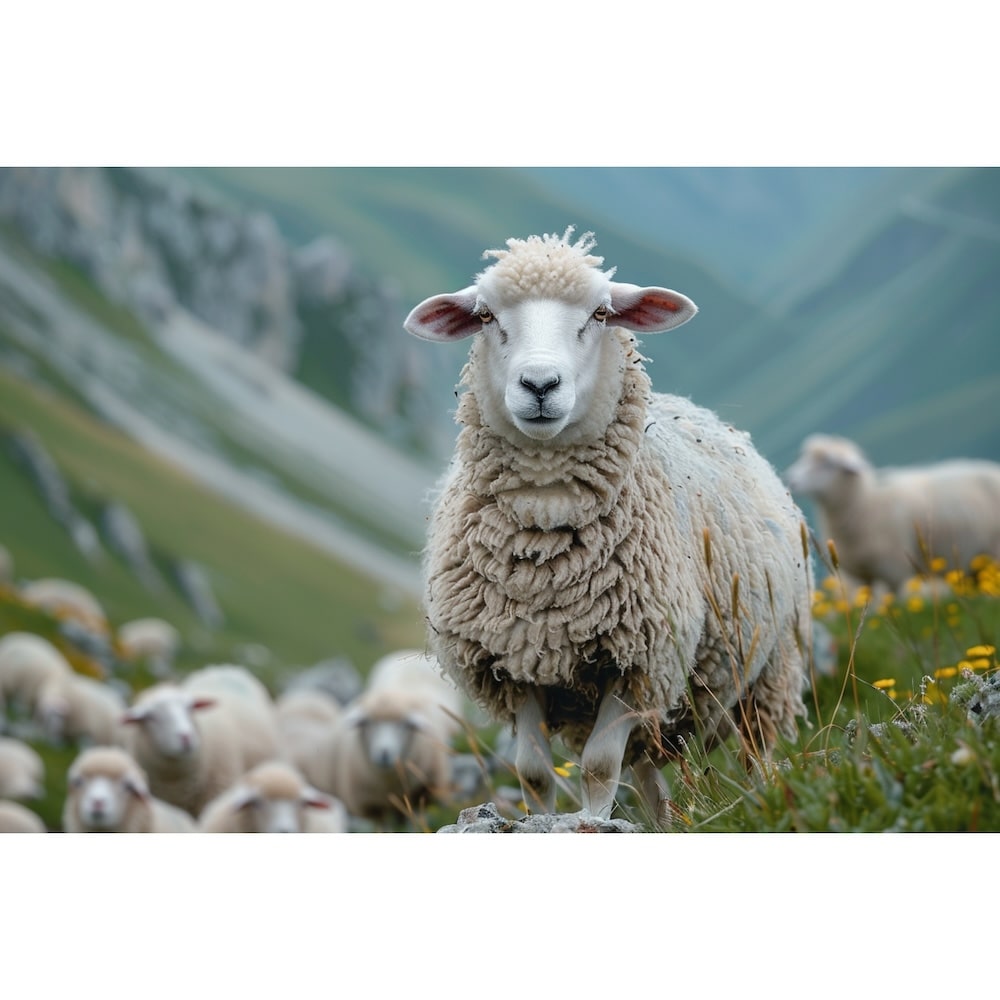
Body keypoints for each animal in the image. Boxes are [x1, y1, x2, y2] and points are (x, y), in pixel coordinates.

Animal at [404, 227, 813, 825]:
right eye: (485, 315)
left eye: (600, 313)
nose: (540, 384)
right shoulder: (511, 663)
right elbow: (533, 773)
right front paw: (547, 820)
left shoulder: (638, 661)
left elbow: (599, 767)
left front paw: (592, 825)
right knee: (650, 779)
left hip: (769, 673)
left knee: (758, 753)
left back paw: (770, 803)